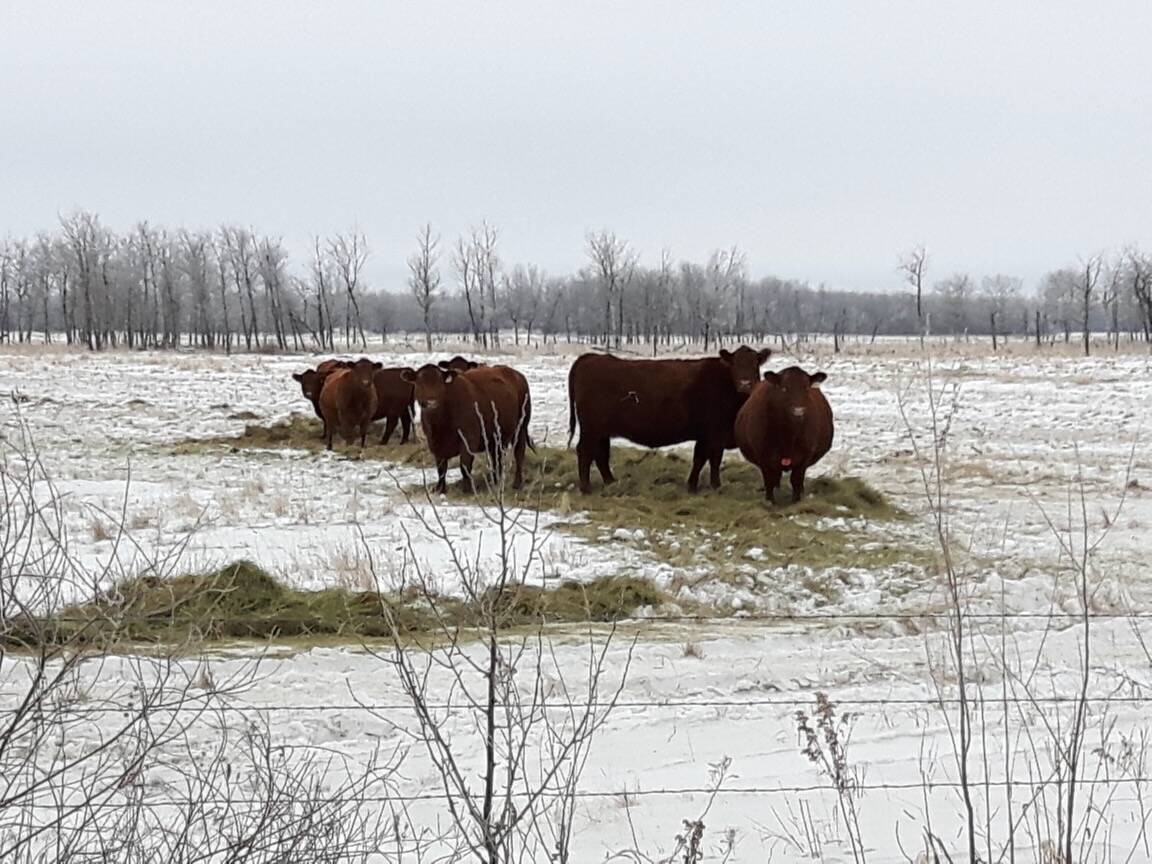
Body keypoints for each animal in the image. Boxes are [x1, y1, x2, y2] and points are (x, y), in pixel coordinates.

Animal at [402, 363, 532, 493]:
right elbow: (441, 469)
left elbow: (464, 466)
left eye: (440, 383)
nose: (431, 402)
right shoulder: (434, 444)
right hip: (496, 437)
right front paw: (440, 489)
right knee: (497, 458)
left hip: (521, 427)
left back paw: (517, 483)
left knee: (519, 453)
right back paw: (496, 481)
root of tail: (517, 374)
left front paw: (467, 489)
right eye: (419, 383)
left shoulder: (469, 439)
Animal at [567, 346, 771, 493]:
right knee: (585, 451)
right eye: (735, 364)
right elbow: (706, 459)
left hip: (601, 431)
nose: (745, 384)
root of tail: (589, 357)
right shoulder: (713, 433)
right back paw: (586, 488)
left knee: (600, 454)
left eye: (755, 364)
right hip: (592, 428)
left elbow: (708, 459)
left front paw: (706, 485)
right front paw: (703, 486)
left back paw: (611, 482)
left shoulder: (711, 435)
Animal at [734, 366, 833, 504]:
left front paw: (796, 501)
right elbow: (769, 481)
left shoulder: (805, 457)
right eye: (784, 388)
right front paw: (770, 501)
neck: (788, 435)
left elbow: (796, 480)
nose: (798, 411)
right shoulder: (763, 457)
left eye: (806, 388)